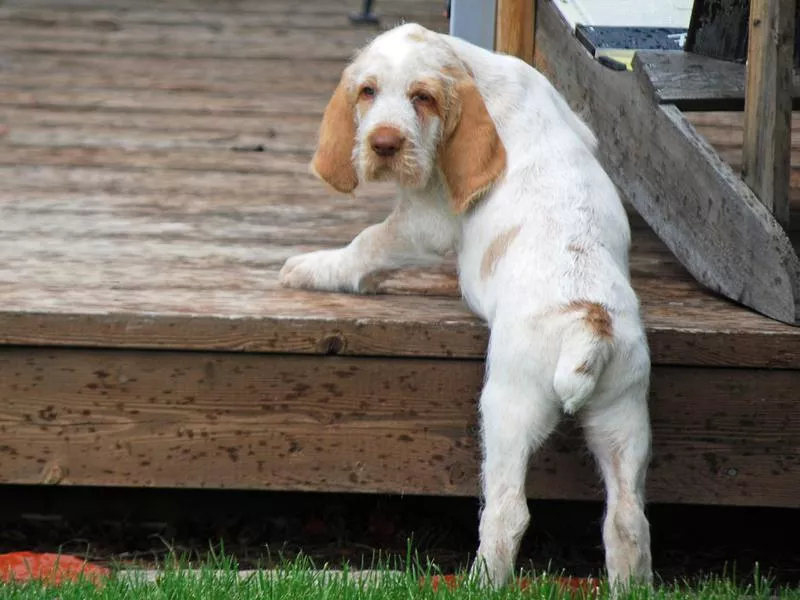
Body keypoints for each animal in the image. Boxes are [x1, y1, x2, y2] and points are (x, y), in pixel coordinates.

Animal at [278, 24, 652, 592]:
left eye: (423, 98)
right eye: (367, 92)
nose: (383, 144)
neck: (479, 74)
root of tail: (591, 323)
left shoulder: (425, 222)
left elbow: (368, 243)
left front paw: (312, 268)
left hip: (508, 408)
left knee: (507, 511)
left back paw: (479, 581)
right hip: (624, 412)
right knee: (628, 518)